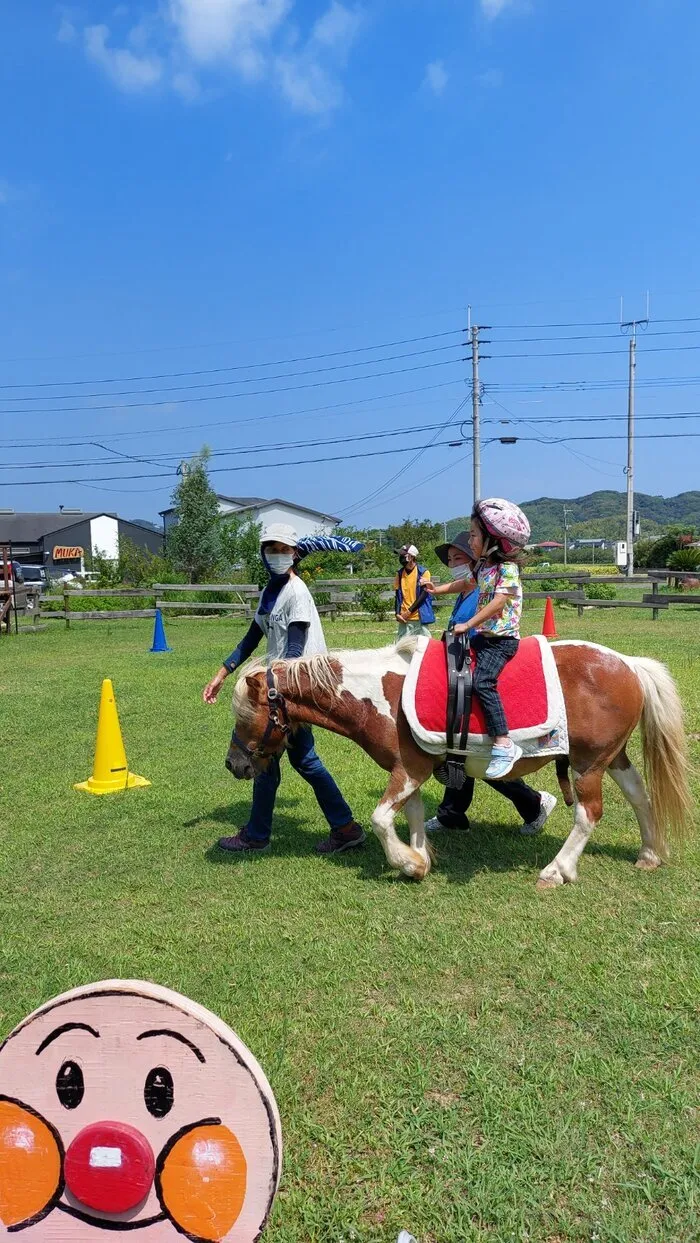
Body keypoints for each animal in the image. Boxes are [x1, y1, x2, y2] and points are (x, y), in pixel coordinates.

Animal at [225, 636, 691, 889]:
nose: (234, 765)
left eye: (245, 715)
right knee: (640, 797)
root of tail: (629, 664)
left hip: (588, 764)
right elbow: (410, 815)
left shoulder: (407, 770)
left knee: (588, 814)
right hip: (612, 757)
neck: (377, 694)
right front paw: (419, 860)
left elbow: (379, 819)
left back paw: (557, 870)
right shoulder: (408, 770)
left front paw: (408, 863)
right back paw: (649, 854)